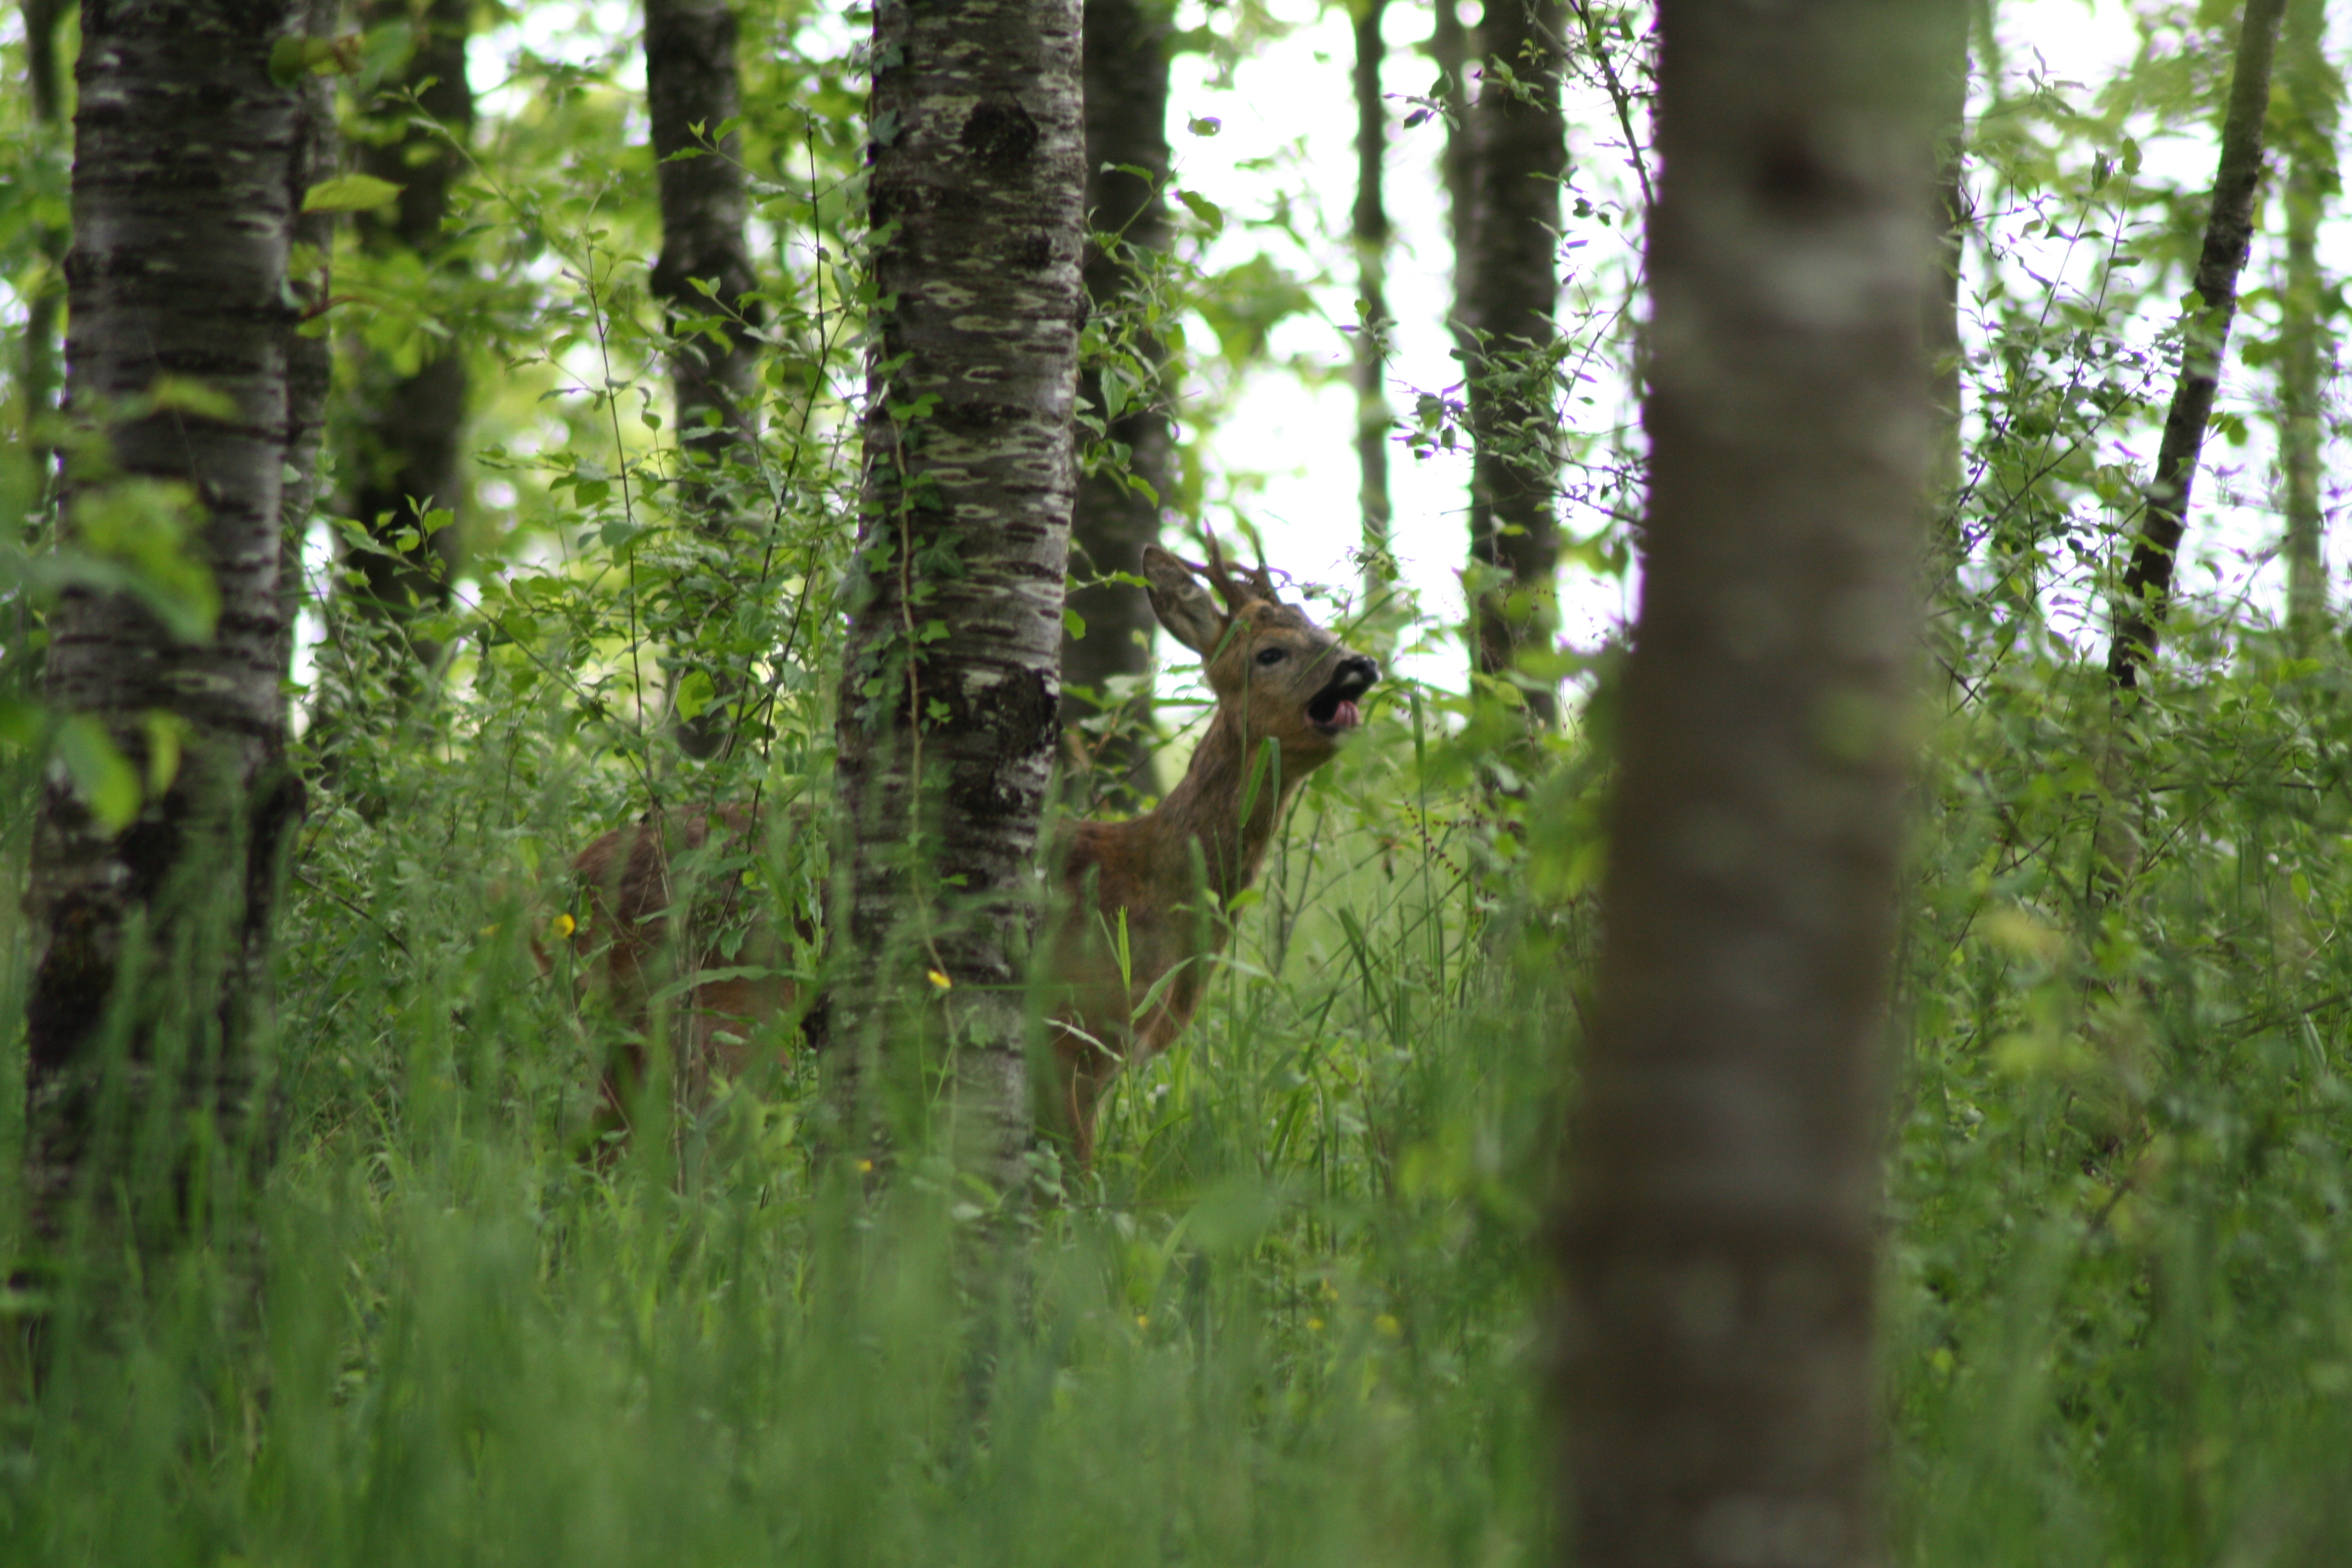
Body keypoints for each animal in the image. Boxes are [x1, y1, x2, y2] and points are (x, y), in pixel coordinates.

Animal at [557, 534, 1373, 1161]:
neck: (1152, 882)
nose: (1359, 664)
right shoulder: (1065, 1037)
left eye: (1326, 633)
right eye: (1271, 652)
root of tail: (563, 887)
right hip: (712, 1008)